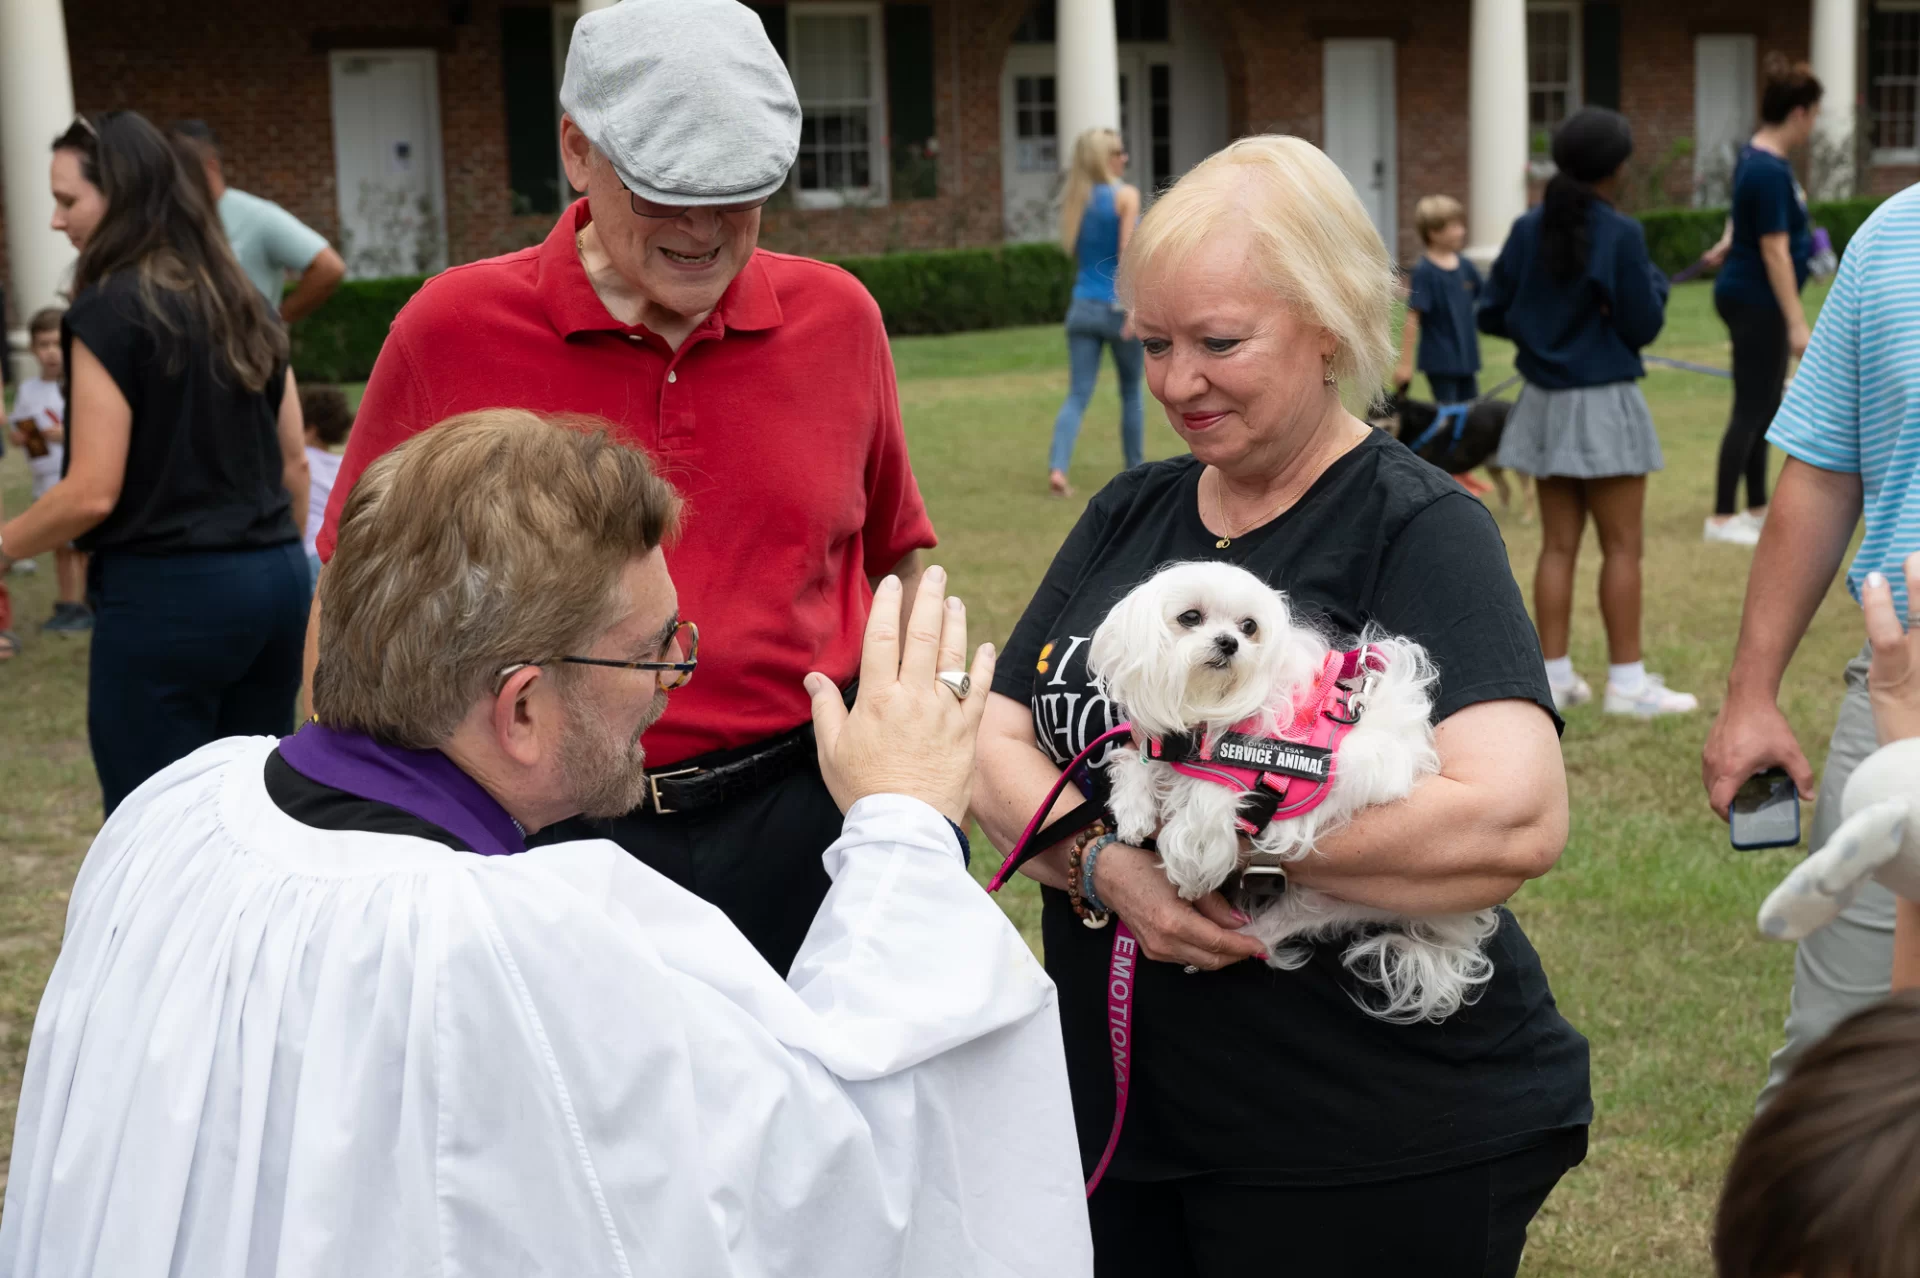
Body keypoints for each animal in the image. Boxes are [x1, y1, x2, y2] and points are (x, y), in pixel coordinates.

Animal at [1098, 564, 1497, 1020]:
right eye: (1190, 617)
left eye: (1249, 627)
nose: (1229, 642)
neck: (1210, 714)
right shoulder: (1164, 750)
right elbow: (1138, 764)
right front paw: (1133, 812)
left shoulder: (1242, 780)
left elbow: (1201, 812)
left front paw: (1190, 872)